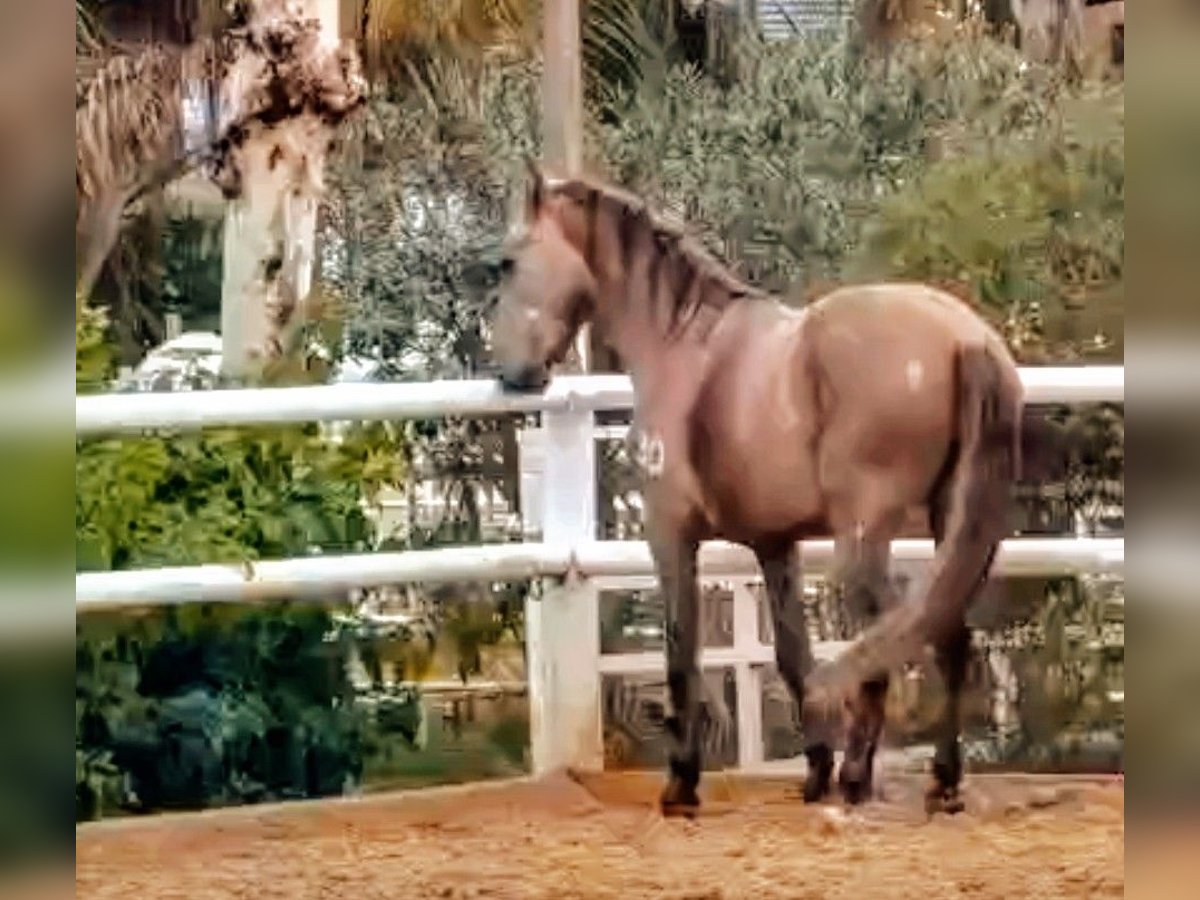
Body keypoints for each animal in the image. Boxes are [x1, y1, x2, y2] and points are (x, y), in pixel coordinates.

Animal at [491, 163, 1024, 817]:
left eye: (508, 262)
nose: (511, 374)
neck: (684, 344)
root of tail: (965, 338)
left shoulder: (669, 532)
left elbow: (682, 652)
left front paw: (682, 785)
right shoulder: (775, 545)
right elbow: (792, 658)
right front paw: (813, 772)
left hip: (862, 538)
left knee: (889, 641)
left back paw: (859, 777)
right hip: (950, 520)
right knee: (945, 636)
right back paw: (940, 783)